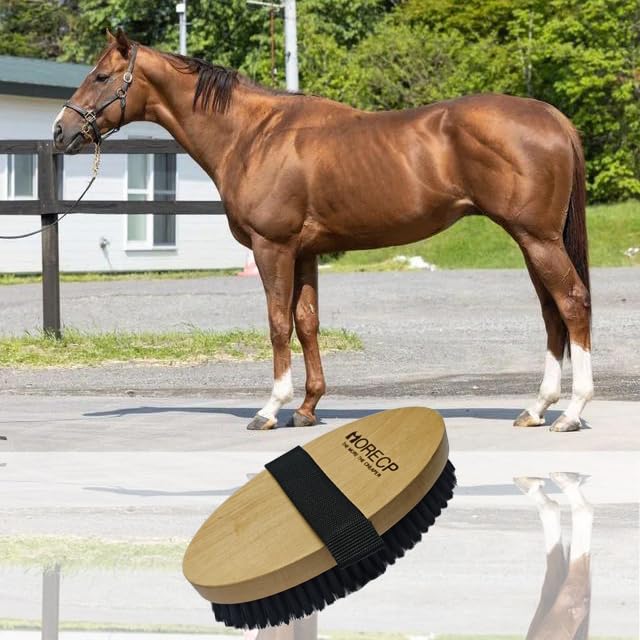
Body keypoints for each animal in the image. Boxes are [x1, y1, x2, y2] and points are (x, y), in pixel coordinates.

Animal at [53, 29, 593, 433]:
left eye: (101, 76)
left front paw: (271, 409)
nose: (60, 131)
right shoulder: (305, 252)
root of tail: (554, 117)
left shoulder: (272, 248)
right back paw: (537, 409)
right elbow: (307, 322)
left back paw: (570, 411)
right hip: (531, 241)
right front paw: (308, 408)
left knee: (571, 303)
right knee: (551, 313)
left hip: (537, 239)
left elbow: (277, 323)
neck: (254, 135)